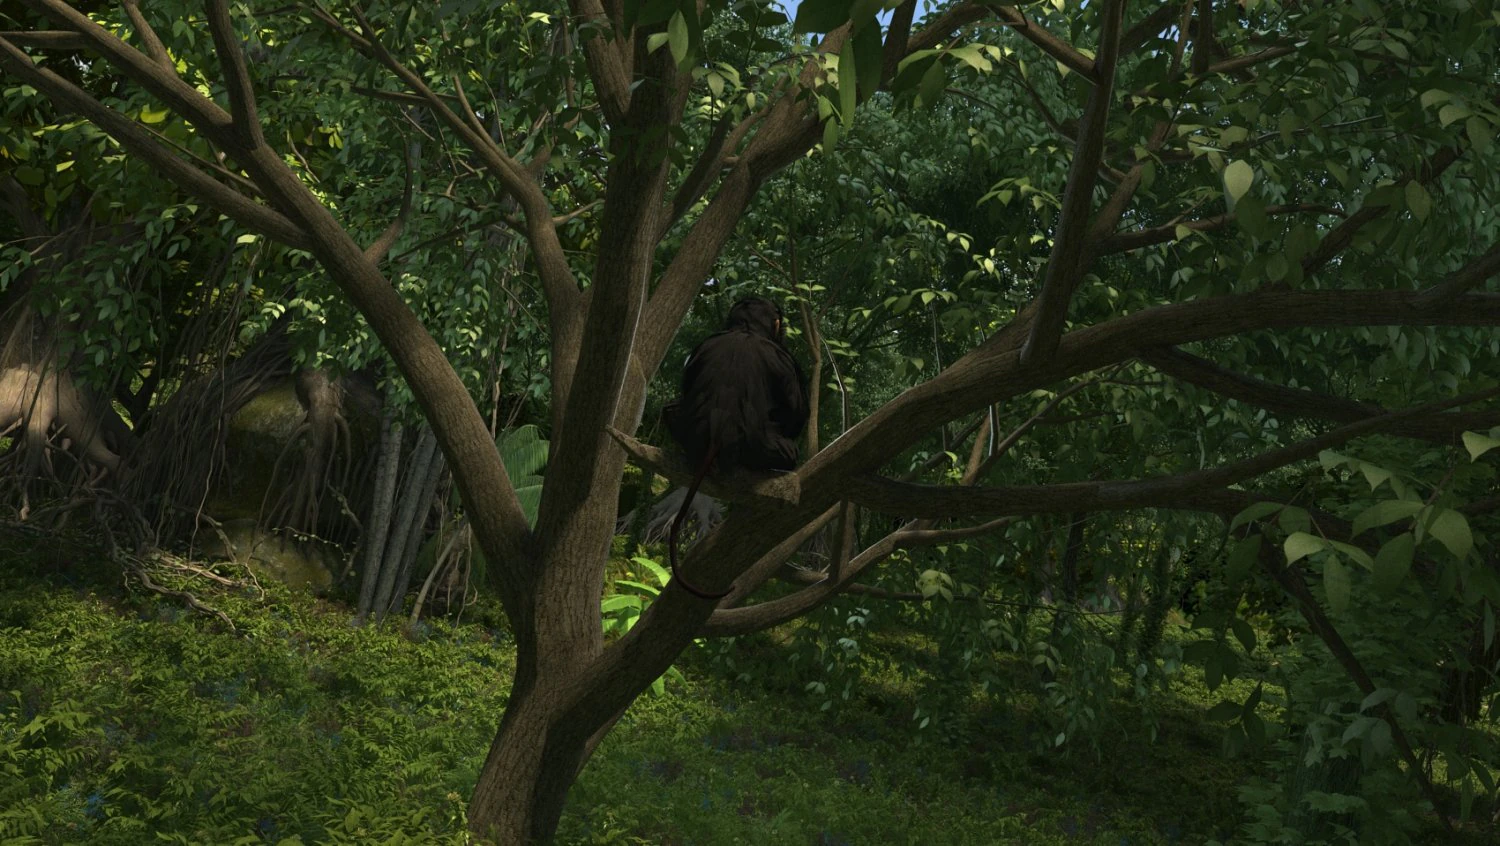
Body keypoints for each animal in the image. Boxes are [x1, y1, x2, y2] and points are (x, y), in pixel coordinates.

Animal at [663, 297, 808, 599]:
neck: (746, 329)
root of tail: (718, 432)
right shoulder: (784, 361)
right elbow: (796, 410)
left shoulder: (701, 346)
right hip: (770, 450)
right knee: (787, 452)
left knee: (669, 410)